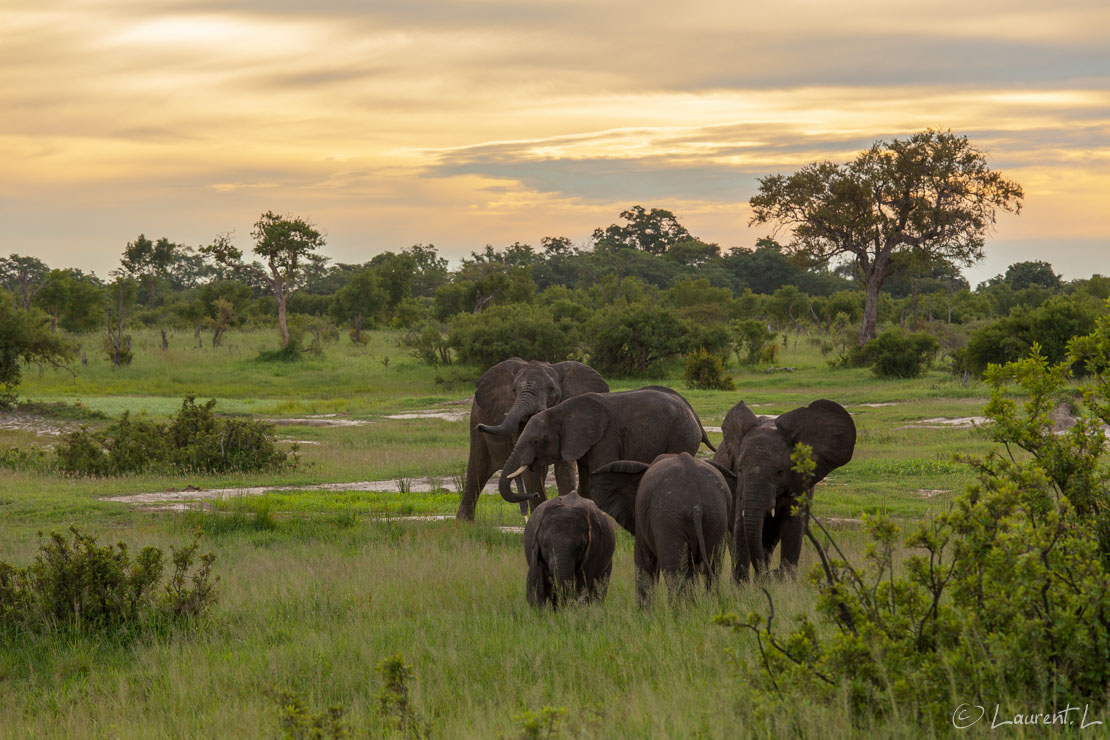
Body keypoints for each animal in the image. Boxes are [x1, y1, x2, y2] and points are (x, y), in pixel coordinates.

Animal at [452, 359, 608, 521]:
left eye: (551, 389)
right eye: (514, 390)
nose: (480, 426)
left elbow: (564, 466)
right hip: (475, 418)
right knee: (477, 467)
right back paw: (464, 522)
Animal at [499, 388, 714, 514]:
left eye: (535, 441)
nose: (535, 495)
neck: (561, 411)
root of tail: (693, 413)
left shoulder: (605, 437)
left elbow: (598, 473)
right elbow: (586, 479)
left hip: (681, 435)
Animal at [590, 452, 737, 607]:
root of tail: (696, 506)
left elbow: (644, 560)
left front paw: (644, 612)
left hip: (668, 519)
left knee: (675, 572)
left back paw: (678, 609)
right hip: (715, 514)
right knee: (712, 564)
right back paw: (705, 604)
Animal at [714, 399, 852, 585]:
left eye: (780, 472)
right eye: (740, 469)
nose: (773, 573)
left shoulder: (799, 483)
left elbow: (793, 527)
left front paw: (786, 583)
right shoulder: (740, 486)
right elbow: (741, 526)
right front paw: (741, 587)